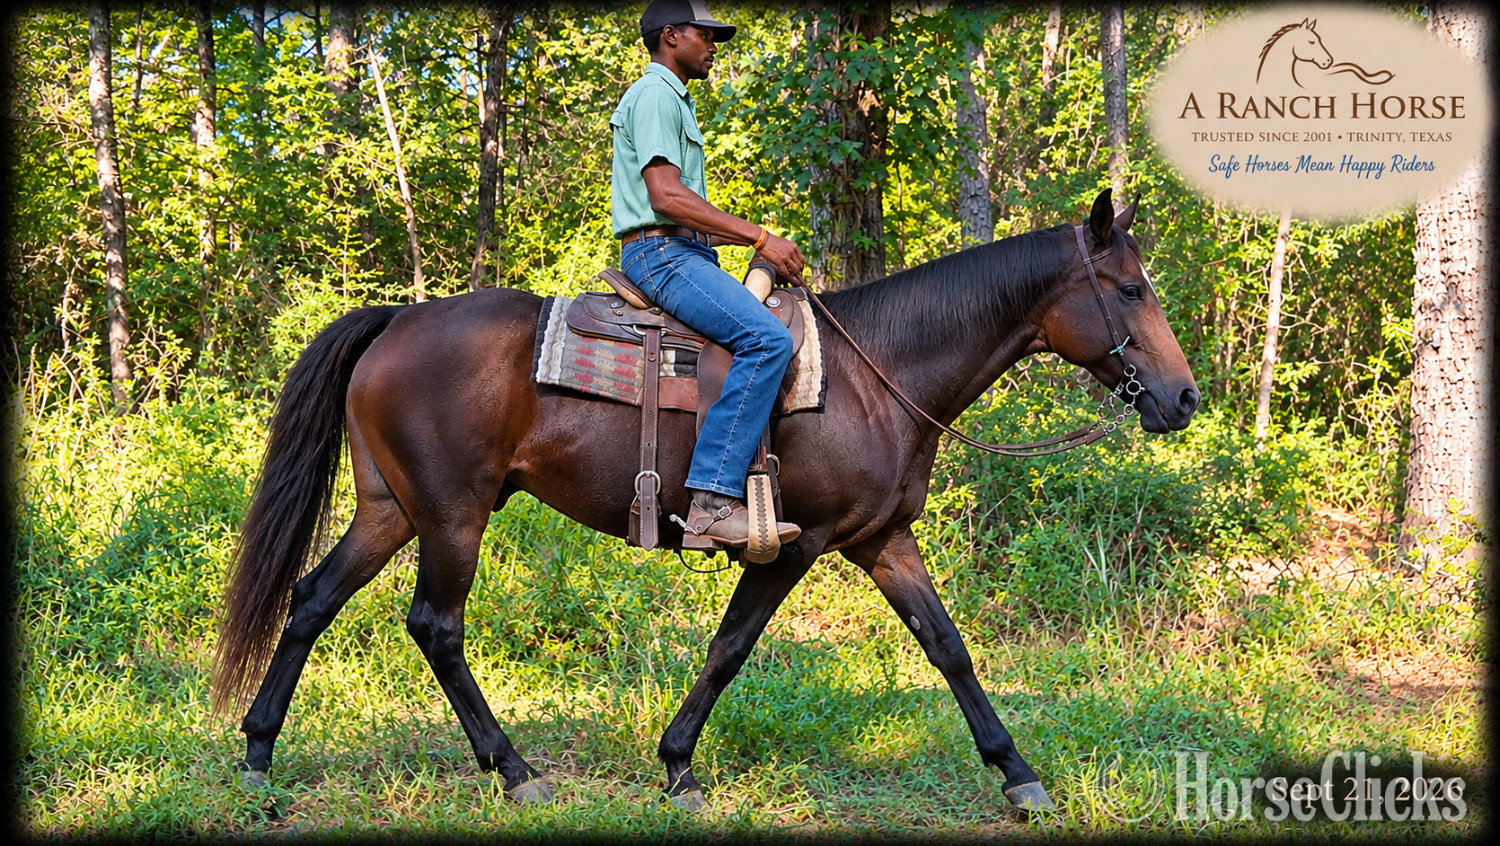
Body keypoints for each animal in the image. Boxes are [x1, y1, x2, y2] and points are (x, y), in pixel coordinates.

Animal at [211, 188, 1199, 814]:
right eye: (1129, 290)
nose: (1184, 397)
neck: (880, 373)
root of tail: (397, 319)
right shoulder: (796, 544)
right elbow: (731, 647)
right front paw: (679, 766)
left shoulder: (882, 538)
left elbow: (947, 646)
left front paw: (1017, 773)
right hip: (453, 513)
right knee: (436, 626)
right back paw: (515, 769)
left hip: (390, 509)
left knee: (312, 599)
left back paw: (259, 754)